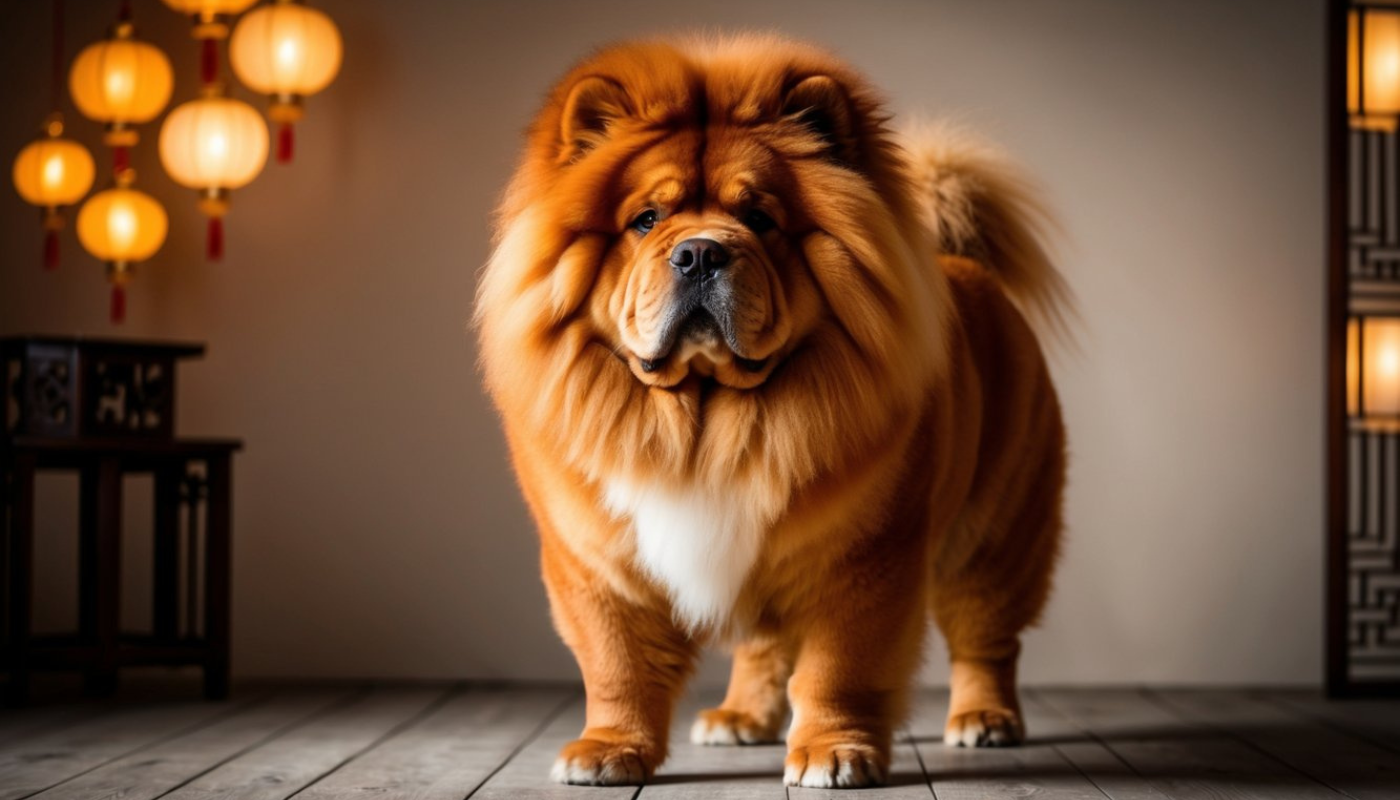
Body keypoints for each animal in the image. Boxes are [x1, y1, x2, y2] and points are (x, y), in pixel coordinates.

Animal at [476, 34, 1064, 790]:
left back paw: (984, 720)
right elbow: (616, 665)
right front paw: (607, 750)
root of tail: (966, 266)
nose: (701, 251)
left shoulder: (863, 561)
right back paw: (739, 720)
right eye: (646, 220)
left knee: (985, 636)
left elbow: (838, 668)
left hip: (995, 532)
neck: (707, 419)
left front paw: (833, 754)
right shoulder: (596, 563)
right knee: (761, 649)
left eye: (759, 219)